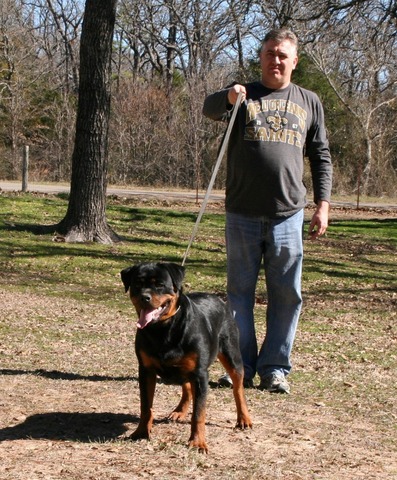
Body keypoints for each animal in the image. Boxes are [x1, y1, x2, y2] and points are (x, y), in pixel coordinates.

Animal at [119, 262, 252, 454]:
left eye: (160, 284)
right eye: (137, 284)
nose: (145, 297)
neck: (163, 329)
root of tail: (219, 299)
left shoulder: (200, 374)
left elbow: (199, 413)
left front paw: (197, 442)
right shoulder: (145, 371)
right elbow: (146, 406)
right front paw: (141, 432)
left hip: (231, 354)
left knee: (238, 388)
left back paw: (244, 418)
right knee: (187, 387)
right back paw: (180, 411)